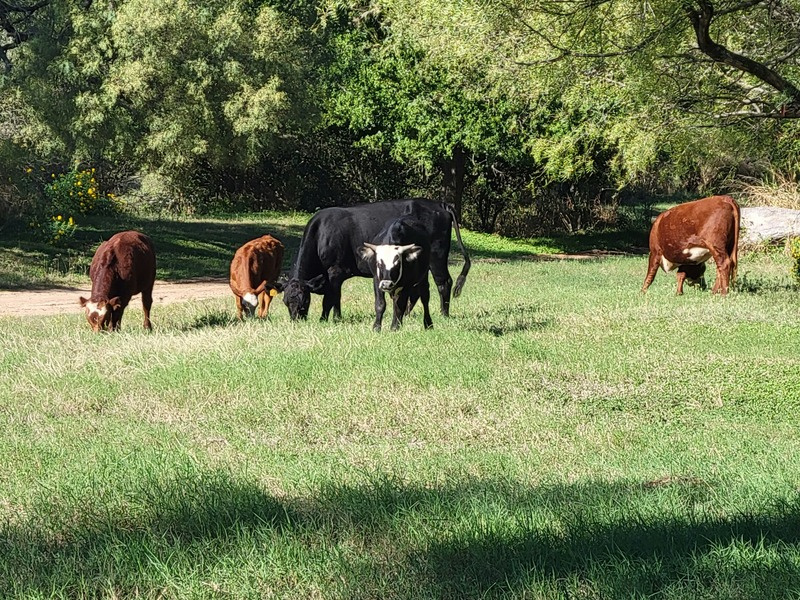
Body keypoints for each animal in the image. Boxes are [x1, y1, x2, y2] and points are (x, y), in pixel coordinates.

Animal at [282, 198, 470, 321]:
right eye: (285, 302)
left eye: (304, 300)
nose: (296, 320)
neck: (320, 234)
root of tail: (440, 204)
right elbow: (335, 297)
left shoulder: (335, 271)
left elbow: (331, 298)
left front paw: (329, 319)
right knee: (417, 289)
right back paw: (407, 314)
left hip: (436, 256)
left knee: (444, 282)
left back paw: (444, 314)